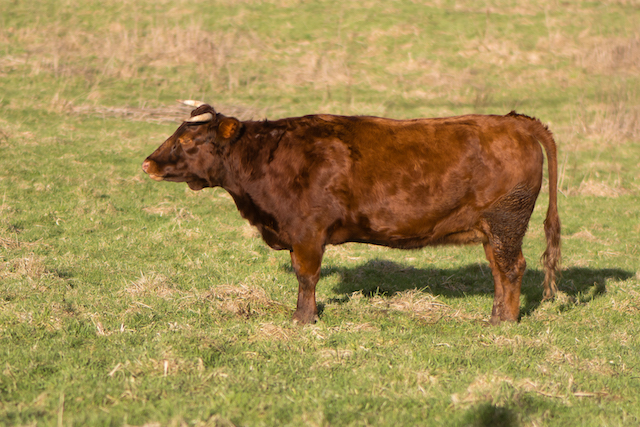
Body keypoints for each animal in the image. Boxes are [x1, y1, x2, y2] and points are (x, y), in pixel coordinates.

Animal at [142, 103, 561, 325]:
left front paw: (303, 320)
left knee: (512, 268)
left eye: (187, 140)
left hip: (506, 222)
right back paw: (495, 316)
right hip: (493, 230)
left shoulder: (307, 233)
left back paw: (505, 323)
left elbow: (307, 277)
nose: (148, 163)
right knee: (499, 271)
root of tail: (512, 120)